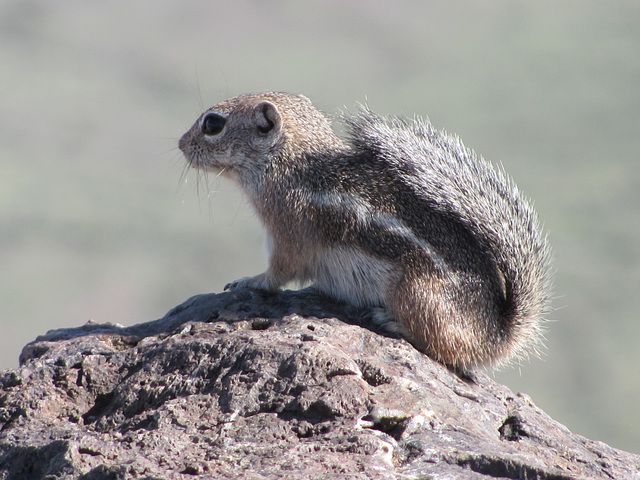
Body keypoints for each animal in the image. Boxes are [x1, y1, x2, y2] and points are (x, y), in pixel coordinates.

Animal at [178, 92, 552, 370]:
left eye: (213, 123)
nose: (181, 143)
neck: (290, 164)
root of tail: (497, 332)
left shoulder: (287, 229)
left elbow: (279, 271)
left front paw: (249, 281)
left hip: (418, 294)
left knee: (447, 349)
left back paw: (390, 321)